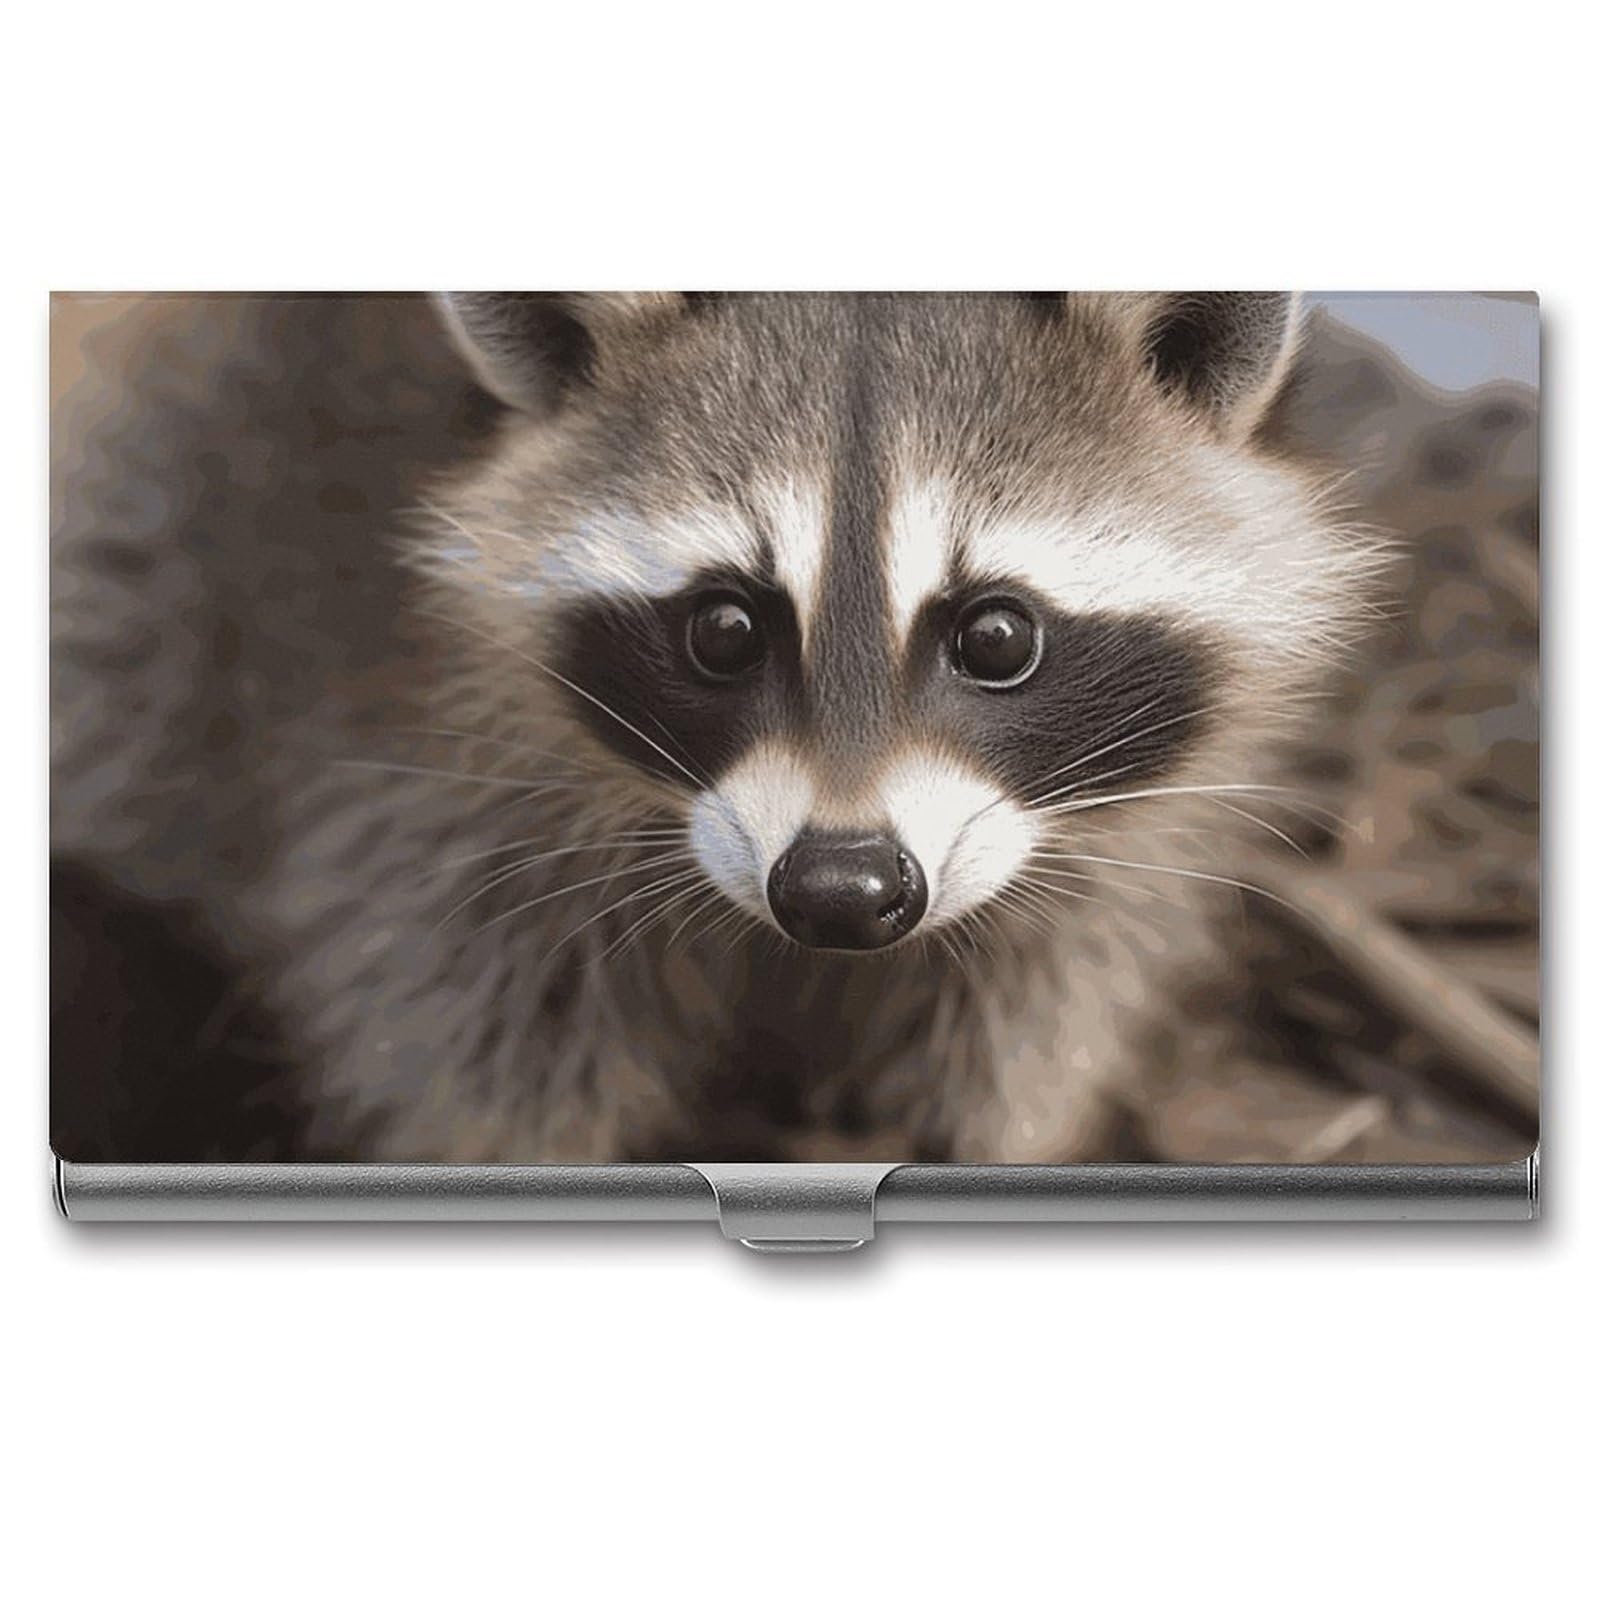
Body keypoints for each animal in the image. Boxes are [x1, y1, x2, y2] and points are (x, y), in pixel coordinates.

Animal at [51, 292, 1378, 1164]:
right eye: (725, 629)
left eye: (997, 636)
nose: (839, 890)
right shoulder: (413, 780)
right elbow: (466, 1046)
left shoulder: (1105, 834)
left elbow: (1032, 996)